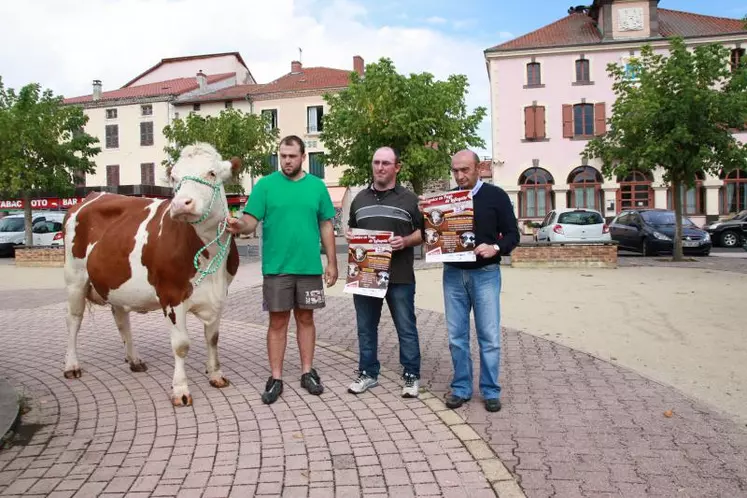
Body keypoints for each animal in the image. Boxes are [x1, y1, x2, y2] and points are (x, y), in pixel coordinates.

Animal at [64, 142, 241, 406]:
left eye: (212, 173)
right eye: (174, 177)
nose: (180, 204)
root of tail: (93, 195)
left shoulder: (220, 295)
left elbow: (212, 338)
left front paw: (216, 375)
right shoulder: (171, 296)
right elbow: (181, 345)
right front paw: (180, 390)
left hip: (116, 282)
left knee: (121, 318)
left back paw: (134, 360)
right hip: (74, 279)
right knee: (74, 320)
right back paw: (72, 365)